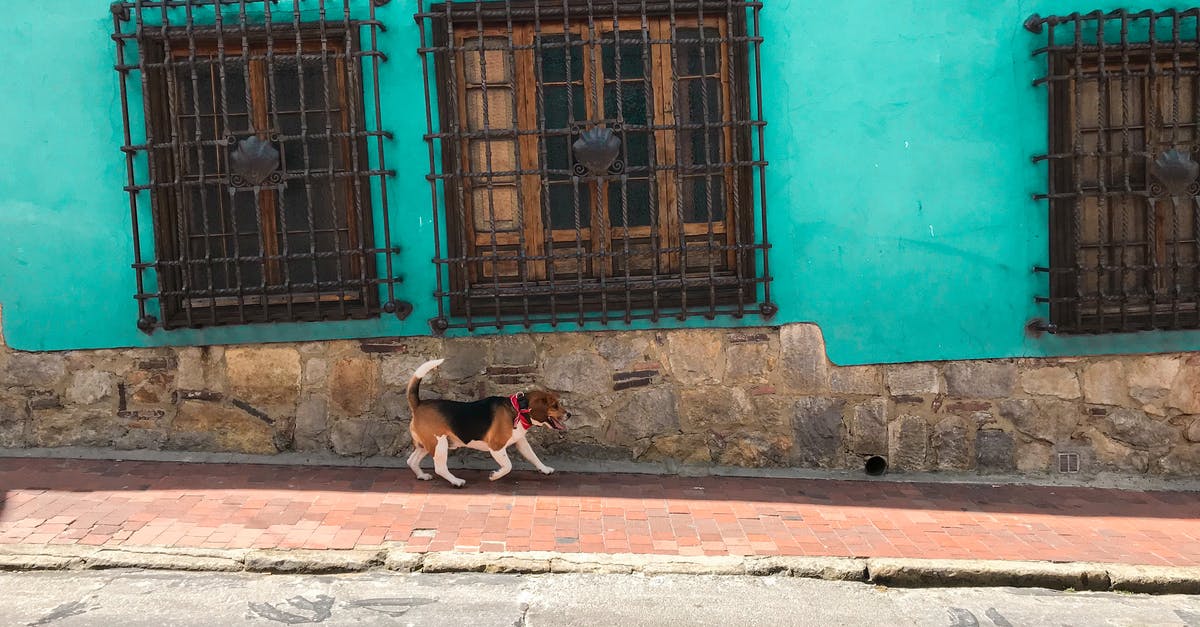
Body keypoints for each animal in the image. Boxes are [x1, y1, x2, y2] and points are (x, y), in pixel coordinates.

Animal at [405, 355, 568, 482]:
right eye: (555, 406)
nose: (569, 414)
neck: (518, 409)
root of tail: (418, 404)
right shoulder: (496, 447)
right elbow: (508, 466)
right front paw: (495, 476)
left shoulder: (521, 441)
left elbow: (533, 457)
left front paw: (544, 469)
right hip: (439, 443)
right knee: (439, 468)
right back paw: (456, 481)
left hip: (426, 444)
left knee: (411, 461)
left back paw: (422, 476)